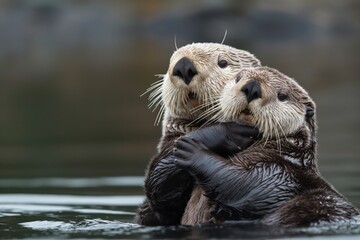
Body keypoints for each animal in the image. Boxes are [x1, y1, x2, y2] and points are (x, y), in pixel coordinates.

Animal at [173, 66, 358, 226]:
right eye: (238, 78)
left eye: (282, 95)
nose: (252, 86)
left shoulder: (276, 174)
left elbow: (239, 182)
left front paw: (190, 149)